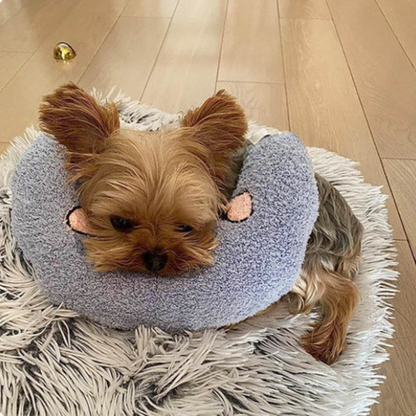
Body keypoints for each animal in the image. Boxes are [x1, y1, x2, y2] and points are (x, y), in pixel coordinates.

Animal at [40, 83, 362, 362]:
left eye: (185, 227)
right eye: (119, 222)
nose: (155, 260)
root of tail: (353, 229)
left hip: (304, 258)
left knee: (341, 290)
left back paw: (327, 342)